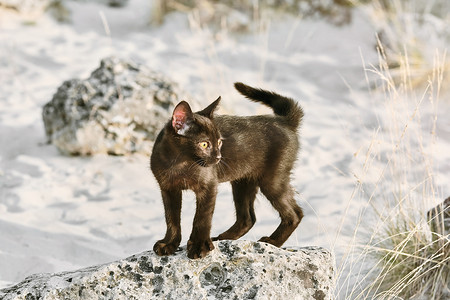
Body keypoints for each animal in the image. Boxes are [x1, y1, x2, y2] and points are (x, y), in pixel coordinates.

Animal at [149, 81, 304, 258]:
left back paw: (273, 242)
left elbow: (202, 217)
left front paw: (199, 246)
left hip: (272, 180)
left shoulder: (209, 186)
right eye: (204, 144)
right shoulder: (168, 189)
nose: (218, 157)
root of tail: (285, 121)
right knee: (248, 218)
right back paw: (224, 238)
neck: (178, 163)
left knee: (295, 214)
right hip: (243, 181)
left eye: (219, 142)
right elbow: (172, 218)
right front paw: (169, 243)